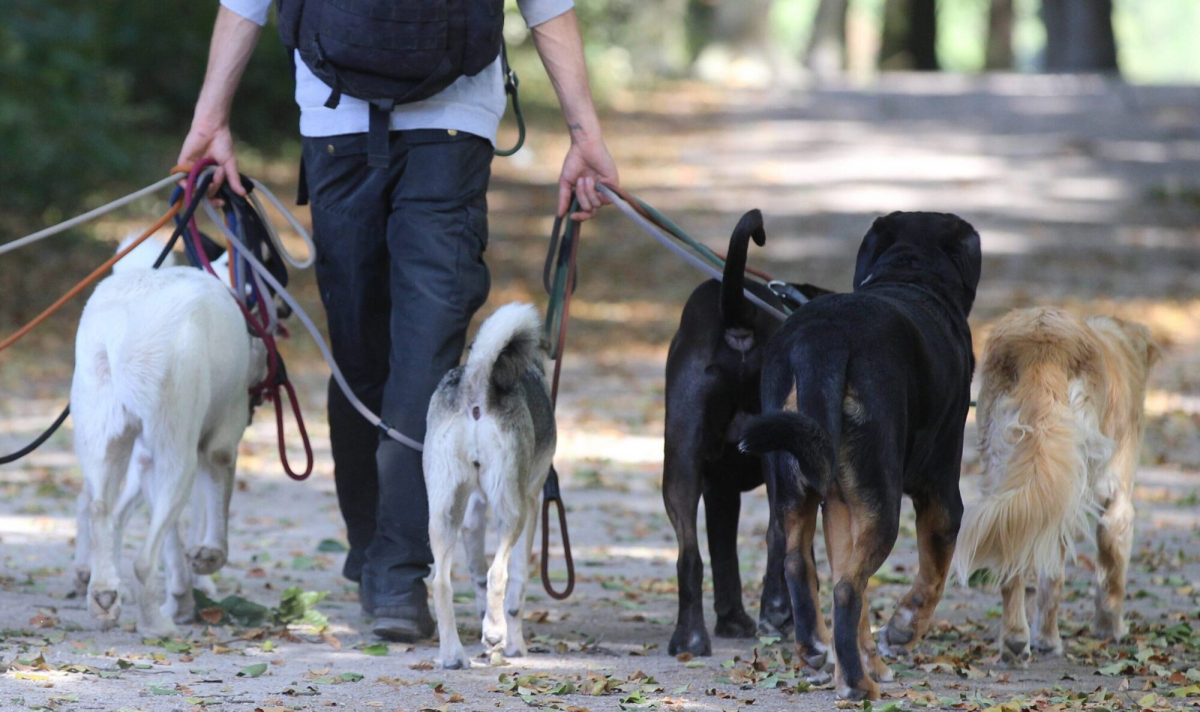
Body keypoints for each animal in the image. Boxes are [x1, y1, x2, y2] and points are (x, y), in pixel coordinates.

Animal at [74, 237, 265, 633]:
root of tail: (124, 330)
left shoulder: (147, 461)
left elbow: (174, 549)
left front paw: (184, 599)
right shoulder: (220, 446)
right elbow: (215, 521)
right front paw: (206, 561)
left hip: (106, 443)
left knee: (100, 510)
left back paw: (104, 595)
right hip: (179, 458)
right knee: (143, 561)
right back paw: (154, 625)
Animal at [422, 302, 556, 667]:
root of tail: (477, 382)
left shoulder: (471, 516)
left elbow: (477, 578)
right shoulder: (532, 502)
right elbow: (516, 585)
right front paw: (512, 644)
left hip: (443, 512)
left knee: (441, 582)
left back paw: (453, 655)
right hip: (512, 510)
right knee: (500, 574)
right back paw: (495, 632)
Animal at [662, 210, 830, 653]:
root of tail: (738, 315)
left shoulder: (718, 489)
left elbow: (724, 556)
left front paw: (732, 620)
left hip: (680, 461)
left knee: (689, 554)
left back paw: (690, 639)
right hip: (779, 457)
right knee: (777, 534)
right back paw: (778, 612)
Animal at [739, 212, 984, 701]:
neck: (910, 276)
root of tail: (821, 343)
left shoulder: (840, 506)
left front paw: (867, 654)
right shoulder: (942, 497)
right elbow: (932, 575)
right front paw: (902, 633)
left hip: (797, 487)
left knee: (803, 568)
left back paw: (819, 655)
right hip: (884, 503)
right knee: (847, 590)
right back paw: (855, 684)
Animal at [950, 307, 1156, 667]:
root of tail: (1041, 338)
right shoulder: (1117, 504)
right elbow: (1110, 577)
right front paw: (1111, 628)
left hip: (1006, 474)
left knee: (1013, 560)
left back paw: (1015, 639)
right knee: (1051, 575)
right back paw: (1045, 639)